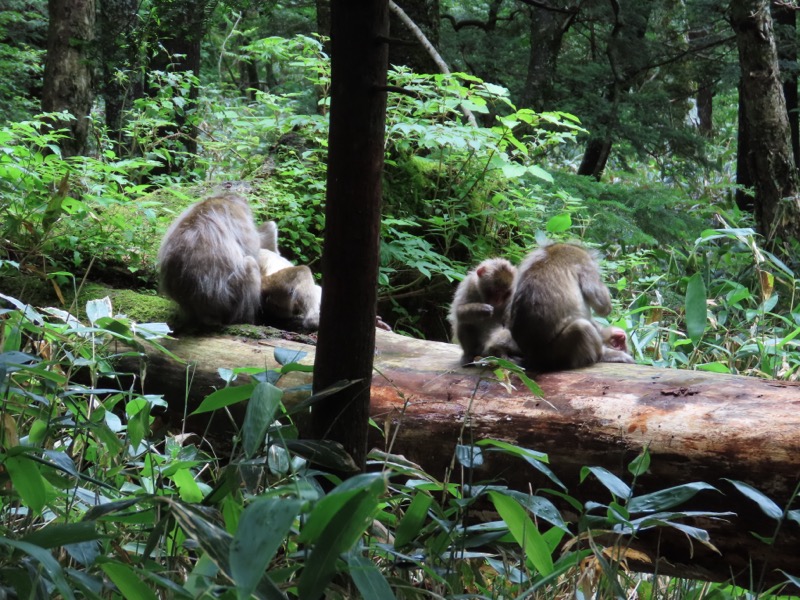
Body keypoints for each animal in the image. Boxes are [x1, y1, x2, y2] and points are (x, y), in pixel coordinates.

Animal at [510, 240, 636, 370]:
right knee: (582, 327)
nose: (622, 338)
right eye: (617, 344)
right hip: (555, 355)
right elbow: (602, 306)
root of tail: (533, 359)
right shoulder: (585, 262)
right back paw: (601, 355)